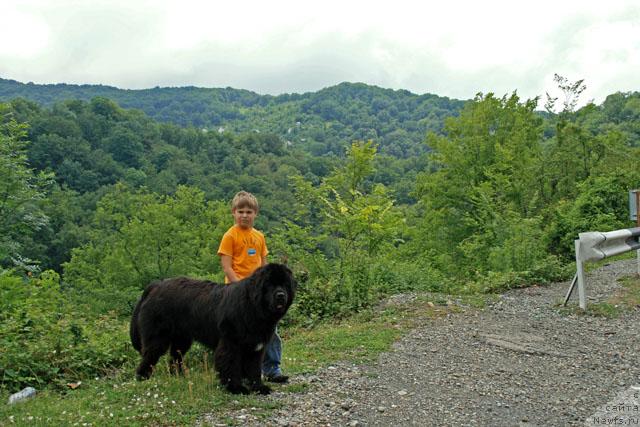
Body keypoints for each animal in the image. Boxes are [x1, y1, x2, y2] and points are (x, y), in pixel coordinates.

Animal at [131, 262, 300, 396]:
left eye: (285, 284)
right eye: (269, 284)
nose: (280, 295)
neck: (252, 306)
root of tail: (156, 285)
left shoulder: (255, 347)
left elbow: (254, 369)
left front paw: (259, 387)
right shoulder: (231, 343)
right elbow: (231, 365)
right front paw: (236, 388)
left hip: (182, 338)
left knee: (175, 357)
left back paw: (179, 376)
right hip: (158, 337)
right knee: (149, 356)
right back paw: (142, 378)